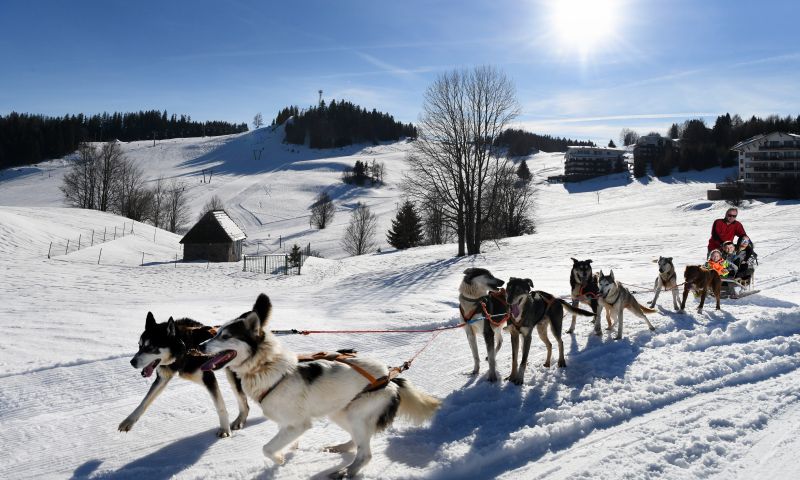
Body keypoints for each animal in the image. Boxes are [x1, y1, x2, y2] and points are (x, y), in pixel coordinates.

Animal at [119, 312, 247, 438]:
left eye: (150, 347)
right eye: (139, 345)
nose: (132, 362)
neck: (185, 348)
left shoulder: (208, 377)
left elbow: (220, 406)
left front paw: (225, 429)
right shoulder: (163, 378)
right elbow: (144, 402)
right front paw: (128, 421)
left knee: (244, 401)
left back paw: (240, 420)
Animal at [198, 294, 440, 478]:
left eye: (226, 336)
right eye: (216, 333)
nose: (199, 345)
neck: (266, 367)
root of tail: (389, 375)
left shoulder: (298, 424)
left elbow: (267, 448)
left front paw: (279, 459)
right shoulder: (288, 424)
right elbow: (285, 443)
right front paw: (287, 455)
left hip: (356, 413)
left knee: (366, 454)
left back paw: (347, 472)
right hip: (340, 412)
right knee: (356, 441)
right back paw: (339, 448)